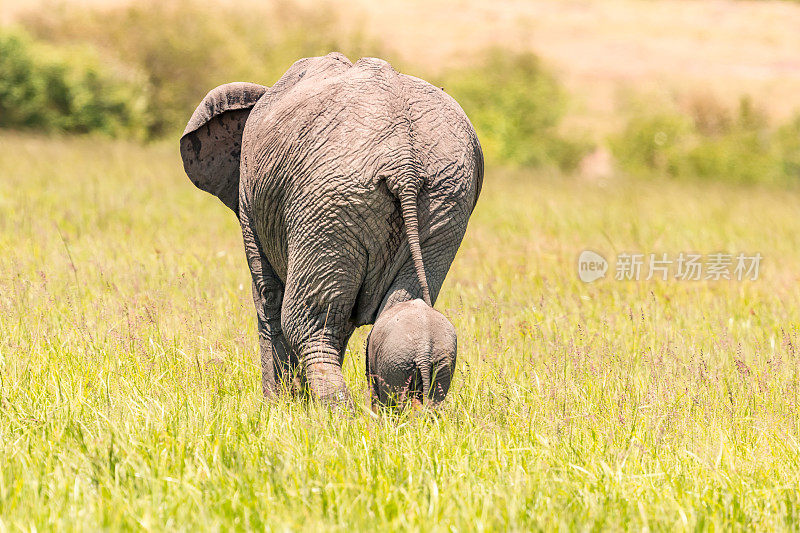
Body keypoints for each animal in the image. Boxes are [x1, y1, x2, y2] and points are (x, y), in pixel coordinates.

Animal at [180, 53, 482, 404]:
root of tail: (403, 160)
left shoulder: (250, 198)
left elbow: (267, 296)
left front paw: (278, 407)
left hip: (328, 201)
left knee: (310, 324)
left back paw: (333, 413)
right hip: (446, 201)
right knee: (392, 309)